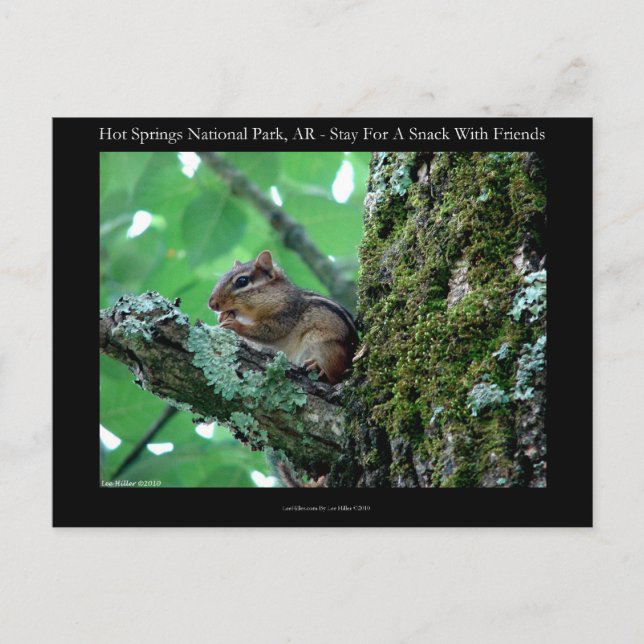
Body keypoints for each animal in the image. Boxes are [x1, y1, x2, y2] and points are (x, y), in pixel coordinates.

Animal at [208, 250, 357, 384]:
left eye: (242, 281)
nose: (212, 304)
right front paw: (222, 317)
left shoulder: (285, 315)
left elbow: (269, 332)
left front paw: (235, 324)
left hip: (325, 347)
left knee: (335, 375)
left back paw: (318, 367)